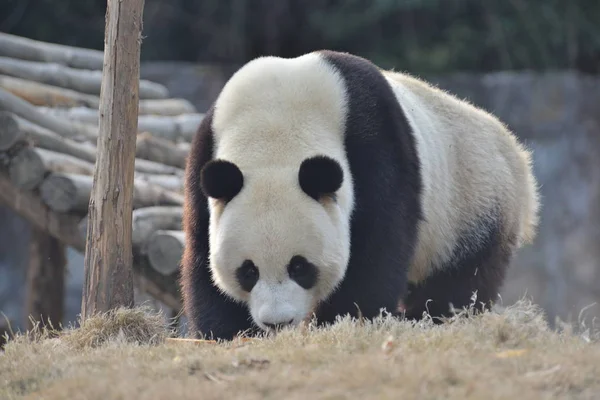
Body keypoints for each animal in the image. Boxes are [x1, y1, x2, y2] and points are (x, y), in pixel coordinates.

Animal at [178, 48, 540, 340]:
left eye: (300, 267)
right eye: (248, 271)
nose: (278, 323)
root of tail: (516, 155)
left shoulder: (375, 144)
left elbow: (378, 244)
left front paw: (346, 321)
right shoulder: (206, 156)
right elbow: (201, 252)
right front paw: (228, 332)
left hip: (472, 203)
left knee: (462, 279)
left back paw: (428, 317)